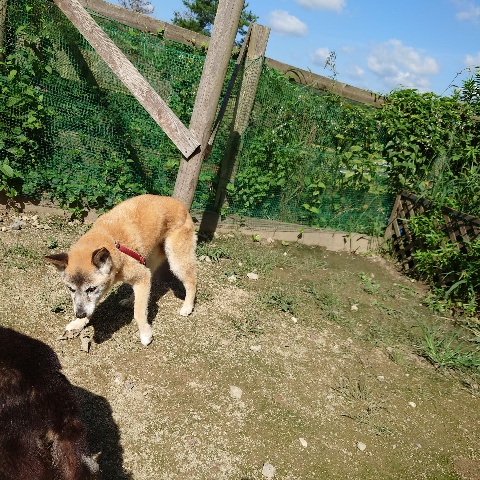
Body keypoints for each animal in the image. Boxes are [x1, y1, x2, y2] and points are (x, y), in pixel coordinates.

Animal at [45, 194, 197, 346]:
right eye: (71, 289)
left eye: (91, 289)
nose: (80, 314)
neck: (112, 242)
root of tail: (178, 203)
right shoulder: (131, 277)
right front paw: (79, 322)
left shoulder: (141, 276)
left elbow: (139, 312)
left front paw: (145, 334)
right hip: (149, 261)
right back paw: (130, 300)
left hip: (176, 260)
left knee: (191, 281)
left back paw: (187, 307)